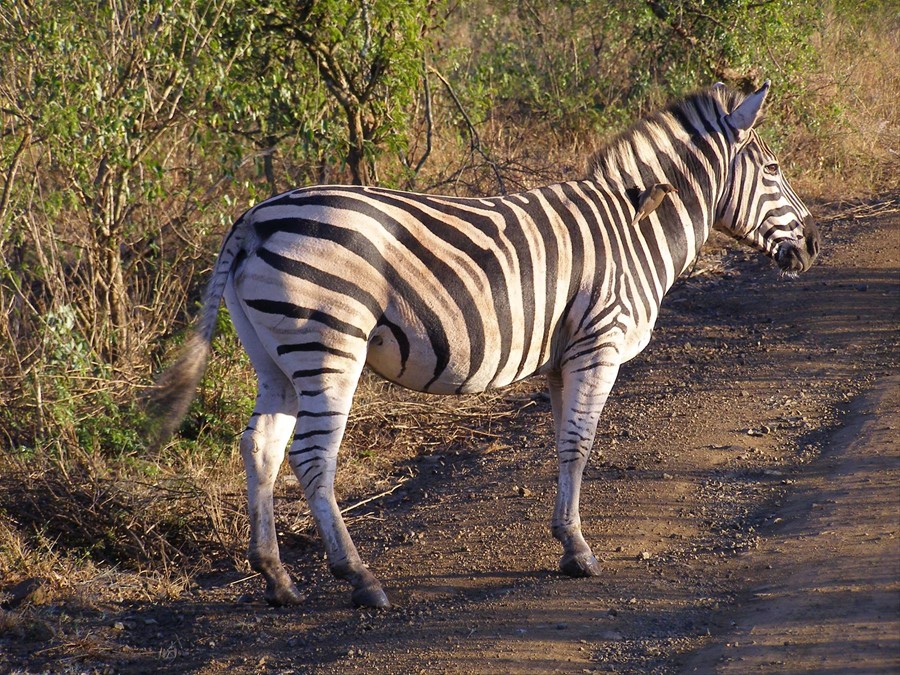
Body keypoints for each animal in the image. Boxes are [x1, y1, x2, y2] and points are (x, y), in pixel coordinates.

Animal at [151, 80, 820, 609]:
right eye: (774, 170)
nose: (813, 249)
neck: (636, 228)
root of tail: (252, 219)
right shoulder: (598, 343)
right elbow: (581, 443)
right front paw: (580, 553)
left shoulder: (563, 355)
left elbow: (564, 444)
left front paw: (565, 539)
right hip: (329, 344)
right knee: (312, 456)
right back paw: (359, 578)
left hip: (273, 356)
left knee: (260, 446)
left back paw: (277, 580)